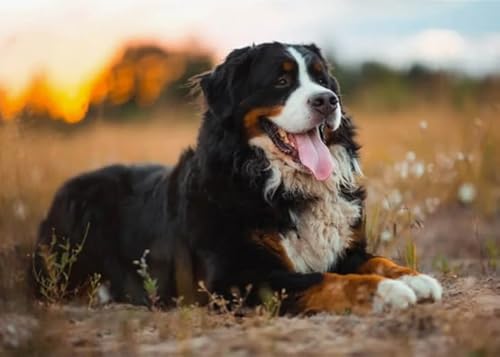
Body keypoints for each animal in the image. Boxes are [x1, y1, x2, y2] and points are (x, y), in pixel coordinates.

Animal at [32, 41, 442, 312]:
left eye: (323, 79)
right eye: (281, 81)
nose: (328, 100)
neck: (281, 184)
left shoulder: (346, 248)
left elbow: (378, 260)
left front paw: (412, 277)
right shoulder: (236, 277)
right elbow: (326, 279)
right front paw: (384, 292)